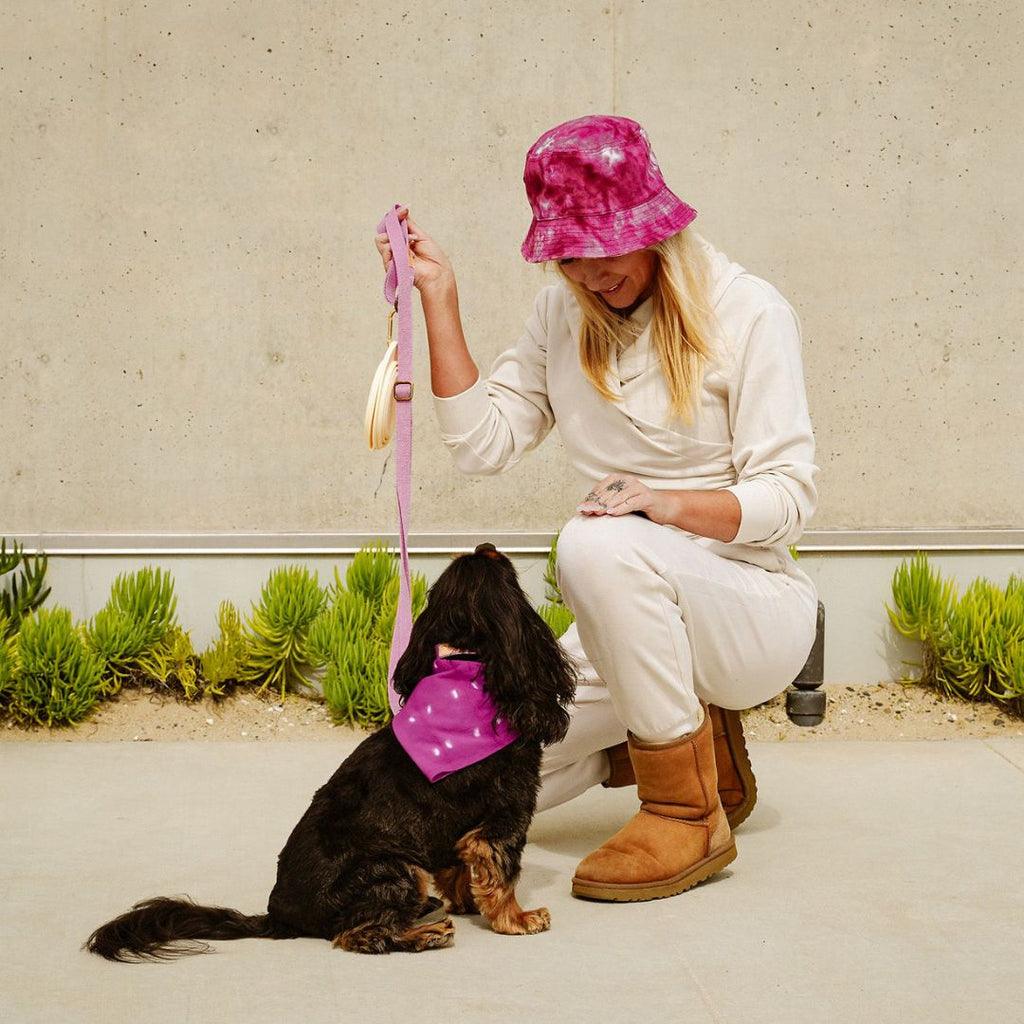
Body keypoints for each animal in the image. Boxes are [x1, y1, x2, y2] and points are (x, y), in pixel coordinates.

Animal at [81, 544, 577, 958]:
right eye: (498, 564)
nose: (486, 544)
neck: (463, 670)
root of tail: (280, 916)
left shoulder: (458, 828)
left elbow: (456, 865)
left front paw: (466, 901)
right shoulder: (506, 817)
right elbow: (503, 875)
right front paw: (518, 919)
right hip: (391, 867)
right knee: (358, 934)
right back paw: (425, 934)